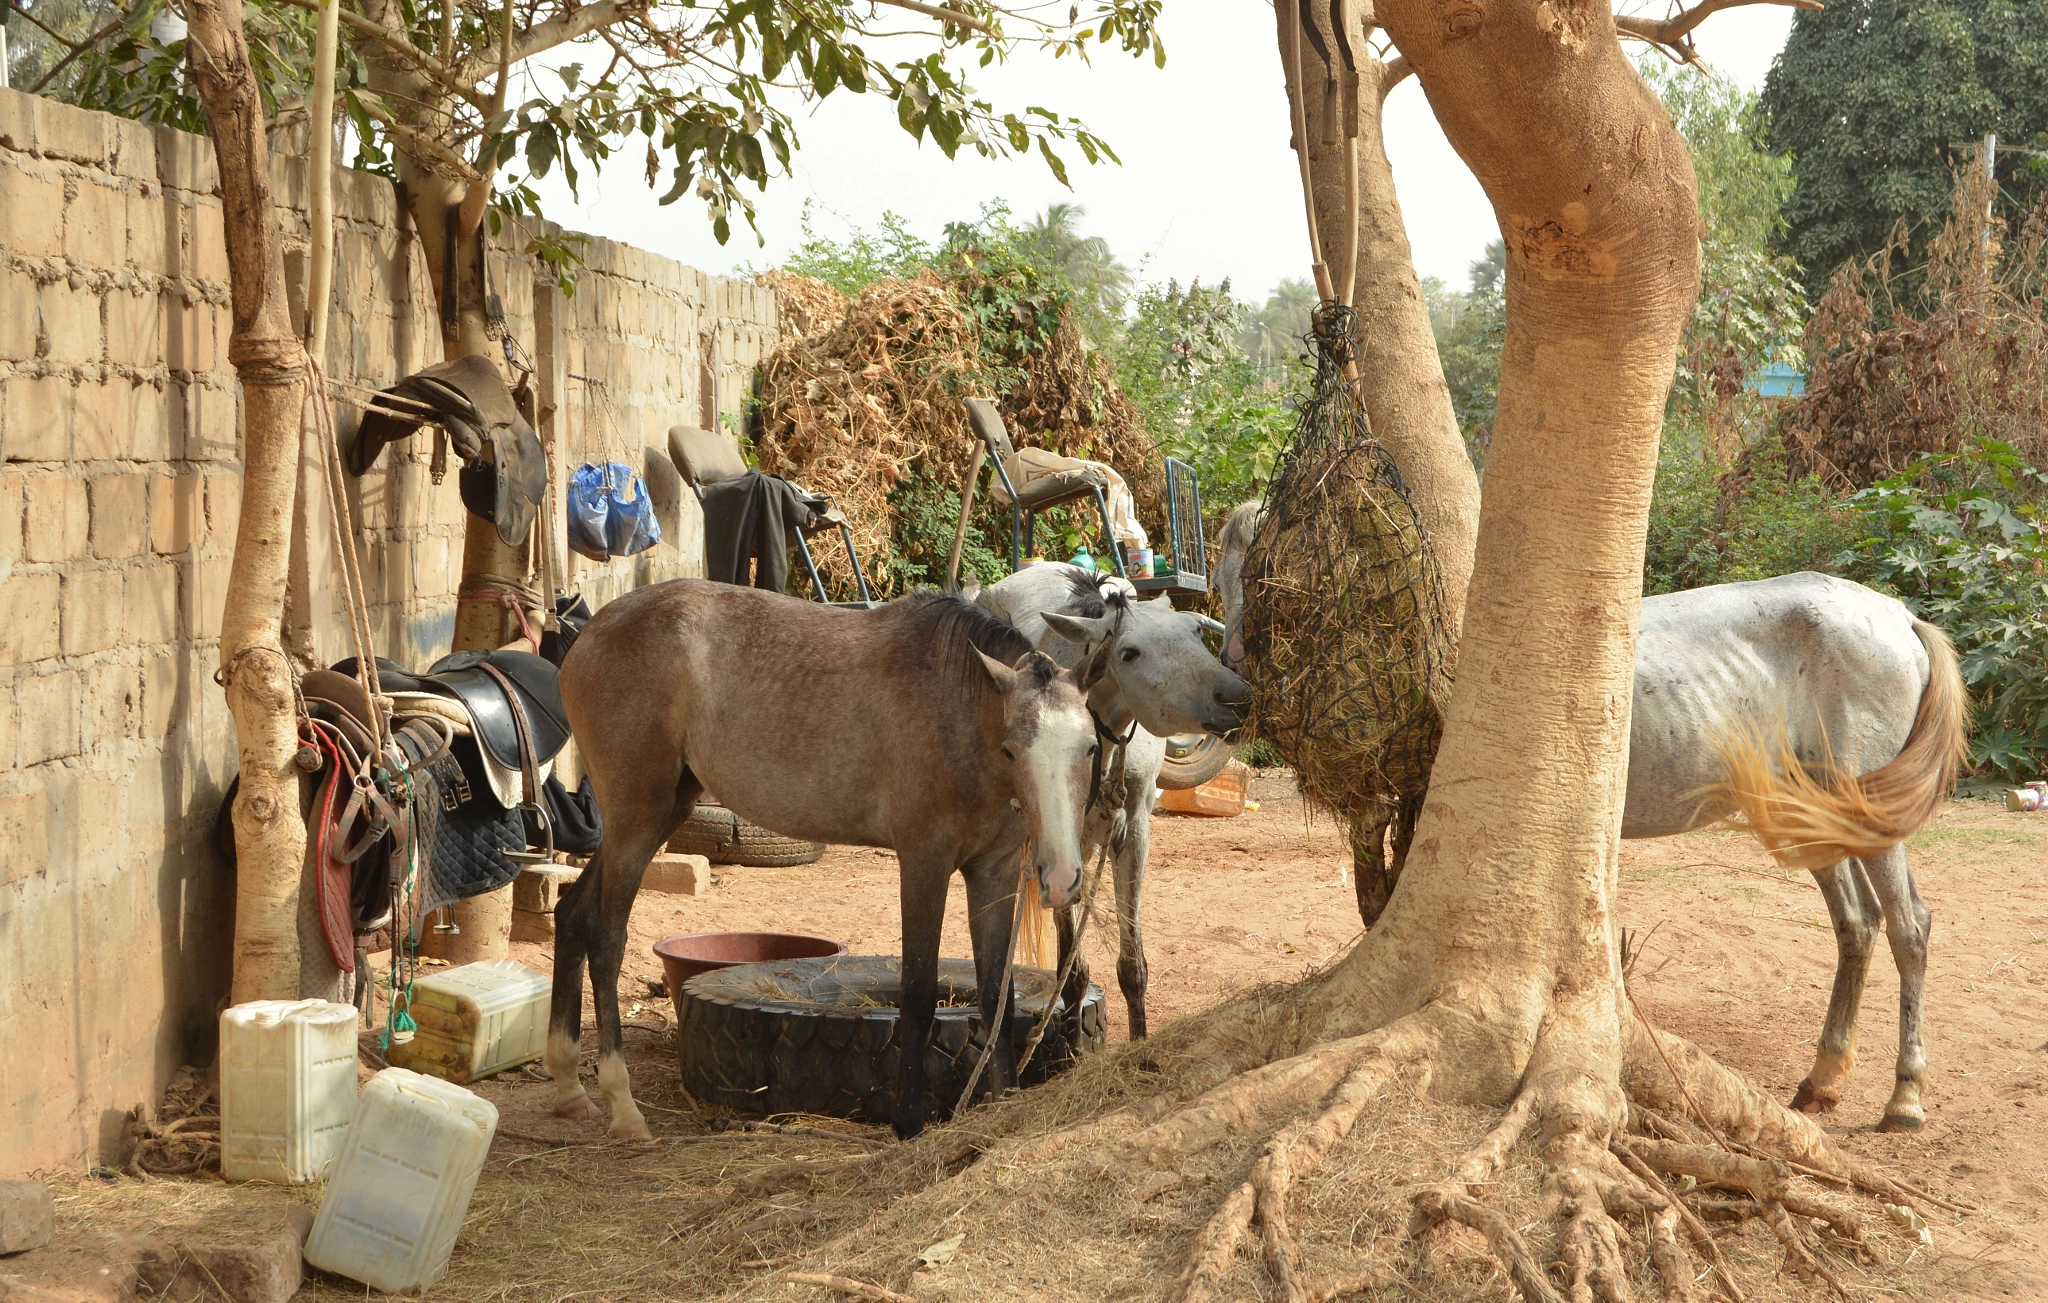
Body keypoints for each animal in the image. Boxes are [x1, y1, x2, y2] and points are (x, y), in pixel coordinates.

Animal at [548, 581, 1105, 1139]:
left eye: (1091, 747)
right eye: (1012, 750)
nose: (1061, 877)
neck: (958, 709)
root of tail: (591, 632)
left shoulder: (994, 870)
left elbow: (996, 996)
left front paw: (1002, 1104)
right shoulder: (923, 862)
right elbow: (918, 993)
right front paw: (909, 1122)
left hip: (659, 812)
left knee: (572, 915)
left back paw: (571, 1088)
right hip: (635, 817)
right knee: (607, 939)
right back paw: (623, 1106)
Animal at [974, 565, 1245, 1044]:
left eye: (1196, 631)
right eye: (1129, 652)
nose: (1233, 695)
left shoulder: (1133, 832)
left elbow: (1132, 965)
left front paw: (1139, 1045)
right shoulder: (1058, 847)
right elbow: (1072, 971)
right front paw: (1072, 1044)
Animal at [1212, 503, 1966, 1139]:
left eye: (1273, 577)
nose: (1233, 690)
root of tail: (1900, 618)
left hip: (1865, 813)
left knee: (1909, 928)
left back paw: (1905, 1097)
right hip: (1811, 814)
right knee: (1857, 926)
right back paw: (1821, 1079)